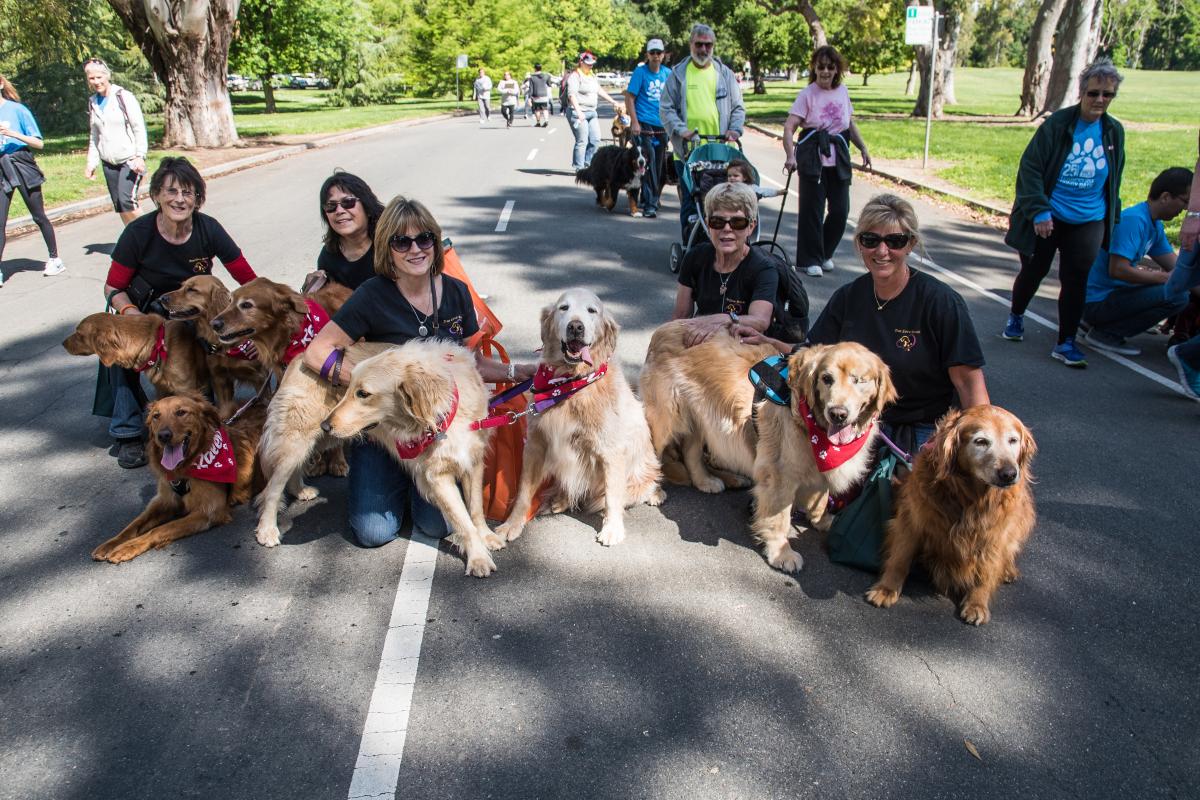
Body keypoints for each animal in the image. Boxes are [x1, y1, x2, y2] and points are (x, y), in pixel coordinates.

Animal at [91, 393, 265, 563]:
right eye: (156, 416)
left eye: (181, 412)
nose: (163, 435)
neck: (186, 467)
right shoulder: (163, 500)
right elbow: (134, 524)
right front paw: (111, 544)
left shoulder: (209, 511)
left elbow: (159, 529)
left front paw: (128, 547)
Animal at [321, 340, 499, 578]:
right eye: (348, 387)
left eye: (363, 393)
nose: (325, 426)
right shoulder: (437, 476)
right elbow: (462, 519)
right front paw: (478, 557)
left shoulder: (472, 460)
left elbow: (476, 508)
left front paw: (486, 536)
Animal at [494, 291, 667, 546]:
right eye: (564, 308)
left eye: (592, 310)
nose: (576, 326)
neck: (570, 383)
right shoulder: (536, 445)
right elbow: (523, 492)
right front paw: (512, 524)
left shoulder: (611, 451)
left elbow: (613, 495)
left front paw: (612, 529)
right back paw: (559, 500)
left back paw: (655, 494)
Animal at [868, 407, 1036, 623]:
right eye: (981, 441)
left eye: (1013, 440)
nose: (1009, 474)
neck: (971, 498)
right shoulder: (912, 518)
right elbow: (900, 557)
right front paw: (886, 589)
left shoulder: (995, 533)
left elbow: (986, 571)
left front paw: (977, 604)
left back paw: (1008, 570)